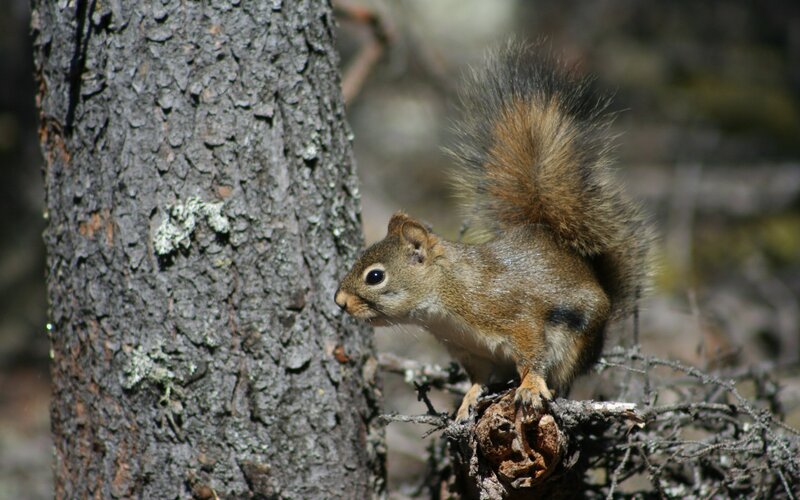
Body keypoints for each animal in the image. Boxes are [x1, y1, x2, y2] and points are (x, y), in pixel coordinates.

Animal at [334, 42, 653, 421]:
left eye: (375, 276)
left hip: (576, 339)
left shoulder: (514, 312)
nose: (339, 302)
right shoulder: (468, 349)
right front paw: (467, 400)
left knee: (563, 378)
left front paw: (530, 385)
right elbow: (476, 377)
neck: (448, 294)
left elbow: (531, 355)